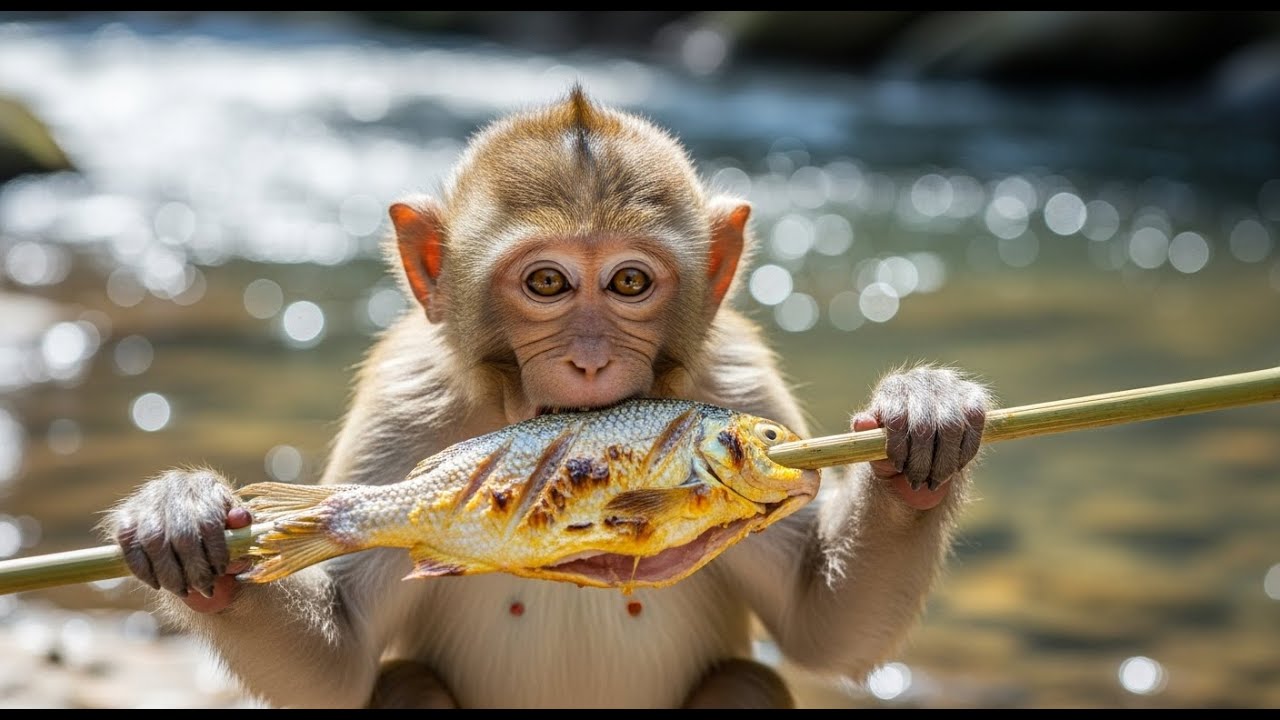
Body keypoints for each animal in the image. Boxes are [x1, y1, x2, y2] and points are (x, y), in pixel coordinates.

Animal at [102, 87, 990, 709]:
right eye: (548, 284)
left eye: (629, 283)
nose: (590, 360)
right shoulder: (404, 396)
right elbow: (339, 661)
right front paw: (183, 518)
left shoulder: (739, 373)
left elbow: (821, 625)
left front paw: (921, 424)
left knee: (753, 678)